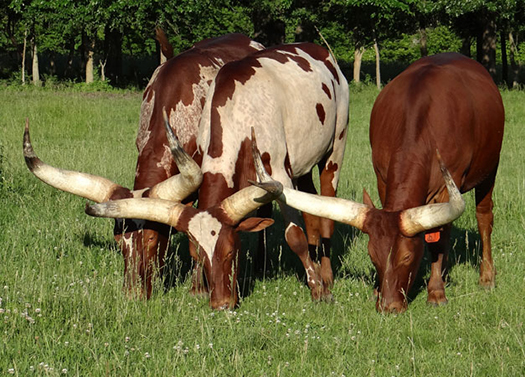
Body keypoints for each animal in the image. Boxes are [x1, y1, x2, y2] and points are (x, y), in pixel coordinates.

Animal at [84, 44, 350, 308]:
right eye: (119, 242)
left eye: (150, 238)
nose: (133, 294)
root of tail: (320, 50)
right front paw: (198, 288)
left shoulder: (279, 176)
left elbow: (294, 236)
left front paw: (319, 290)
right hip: (304, 164)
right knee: (309, 204)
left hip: (335, 150)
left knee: (328, 207)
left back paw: (326, 274)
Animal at [250, 52, 504, 312]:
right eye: (373, 256)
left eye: (407, 257)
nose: (389, 307)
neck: (423, 124)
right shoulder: (382, 178)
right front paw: (377, 289)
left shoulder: (445, 187)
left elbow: (438, 240)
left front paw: (436, 292)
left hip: (490, 170)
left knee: (484, 217)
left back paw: (486, 276)